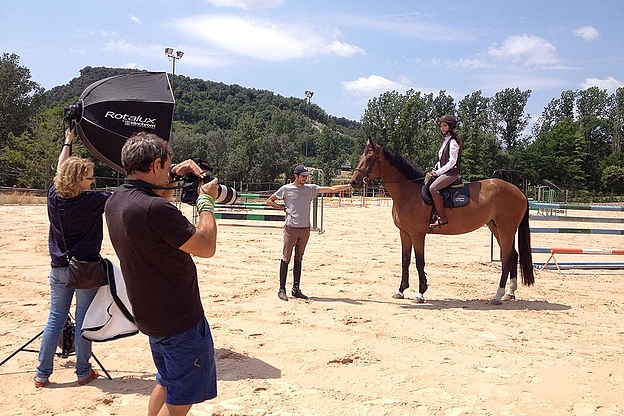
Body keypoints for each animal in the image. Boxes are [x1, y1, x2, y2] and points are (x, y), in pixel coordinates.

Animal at [348, 138, 532, 304]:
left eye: (370, 158)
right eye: (361, 156)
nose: (353, 181)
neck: (409, 192)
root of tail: (519, 192)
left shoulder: (417, 234)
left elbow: (419, 262)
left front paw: (420, 293)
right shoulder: (404, 233)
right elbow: (405, 261)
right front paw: (400, 290)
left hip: (506, 229)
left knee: (507, 258)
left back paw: (497, 296)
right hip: (496, 228)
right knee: (512, 255)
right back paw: (510, 293)